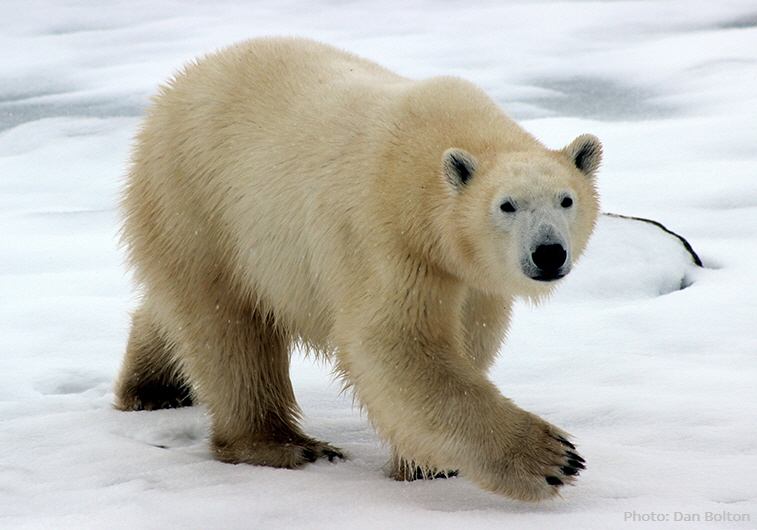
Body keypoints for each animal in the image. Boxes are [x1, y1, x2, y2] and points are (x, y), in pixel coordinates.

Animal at [114, 36, 601, 502]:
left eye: (566, 199)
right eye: (507, 205)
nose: (548, 253)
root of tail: (175, 87)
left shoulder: (469, 275)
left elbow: (470, 335)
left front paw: (425, 464)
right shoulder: (388, 238)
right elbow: (393, 344)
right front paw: (552, 459)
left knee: (178, 311)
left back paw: (155, 387)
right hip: (198, 202)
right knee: (227, 329)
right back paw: (284, 444)